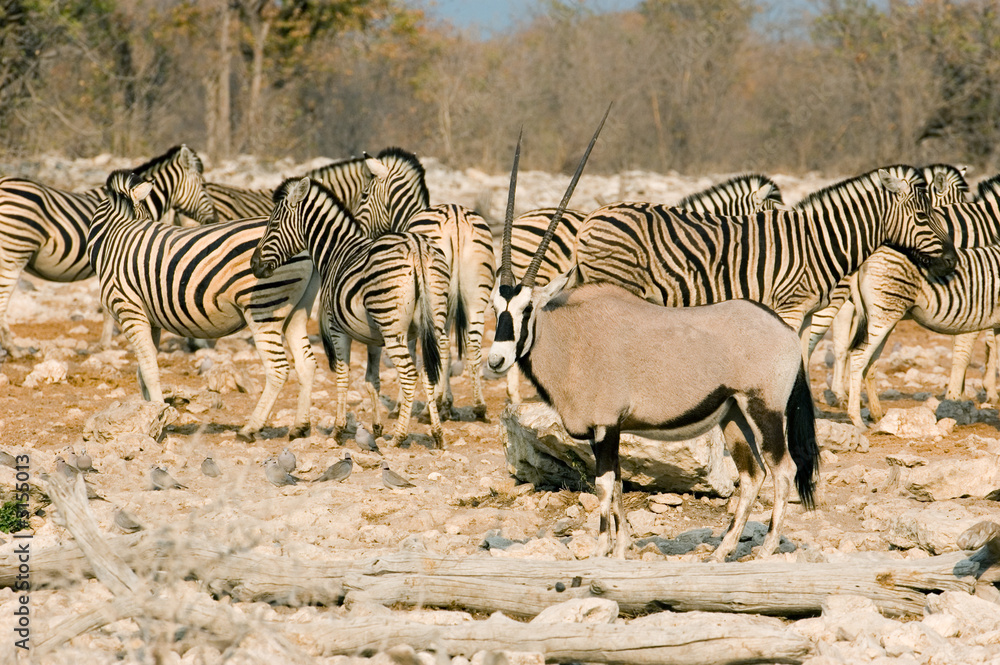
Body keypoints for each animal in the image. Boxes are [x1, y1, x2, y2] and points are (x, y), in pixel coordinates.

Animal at [0, 145, 218, 355]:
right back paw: (13, 350)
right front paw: (105, 343)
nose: (214, 219)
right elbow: (109, 307)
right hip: (14, 253)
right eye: (203, 186)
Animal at [87, 170, 317, 441]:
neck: (113, 237)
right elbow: (143, 370)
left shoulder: (129, 310)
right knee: (306, 364)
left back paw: (251, 428)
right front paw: (149, 414)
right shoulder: (150, 318)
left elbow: (150, 369)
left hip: (264, 306)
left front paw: (158, 417)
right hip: (296, 311)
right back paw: (300, 427)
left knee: (278, 369)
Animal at [251, 176, 450, 448]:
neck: (335, 250)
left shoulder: (337, 329)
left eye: (273, 224)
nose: (253, 264)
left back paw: (398, 437)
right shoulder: (374, 338)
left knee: (409, 375)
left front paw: (338, 430)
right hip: (432, 324)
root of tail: (416, 244)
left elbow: (343, 376)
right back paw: (437, 434)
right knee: (430, 373)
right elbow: (372, 381)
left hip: (393, 327)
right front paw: (376, 428)